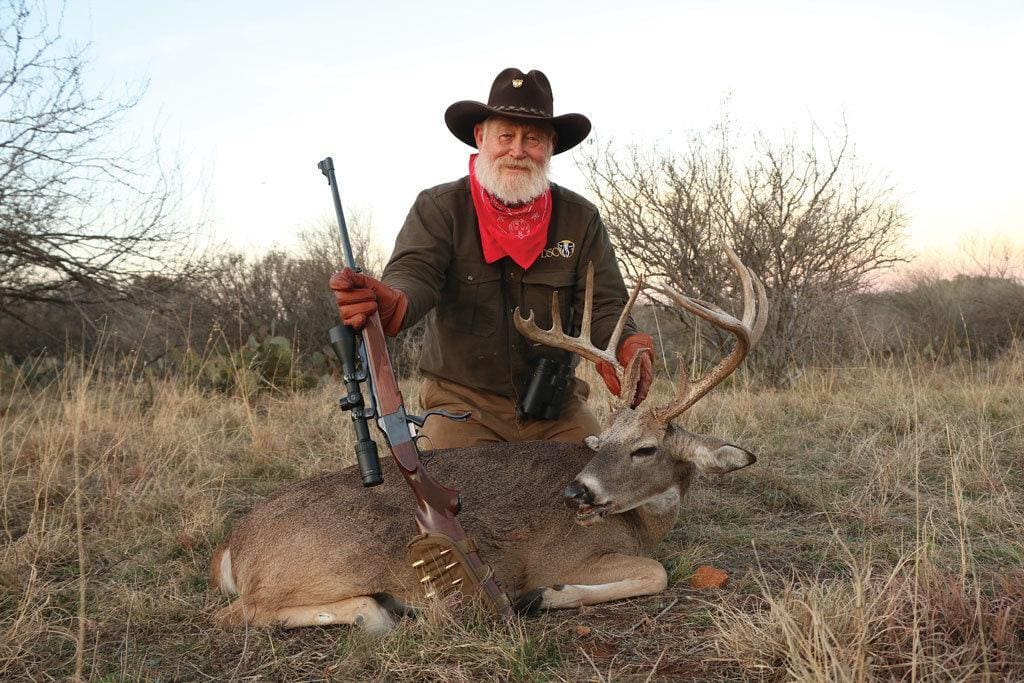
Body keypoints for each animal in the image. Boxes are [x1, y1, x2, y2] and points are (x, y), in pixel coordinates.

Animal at [209, 247, 768, 633]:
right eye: (604, 440)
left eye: (644, 448)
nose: (575, 492)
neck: (640, 523)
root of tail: (233, 546)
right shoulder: (566, 556)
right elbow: (657, 573)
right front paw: (541, 597)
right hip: (330, 564)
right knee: (241, 612)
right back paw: (384, 610)